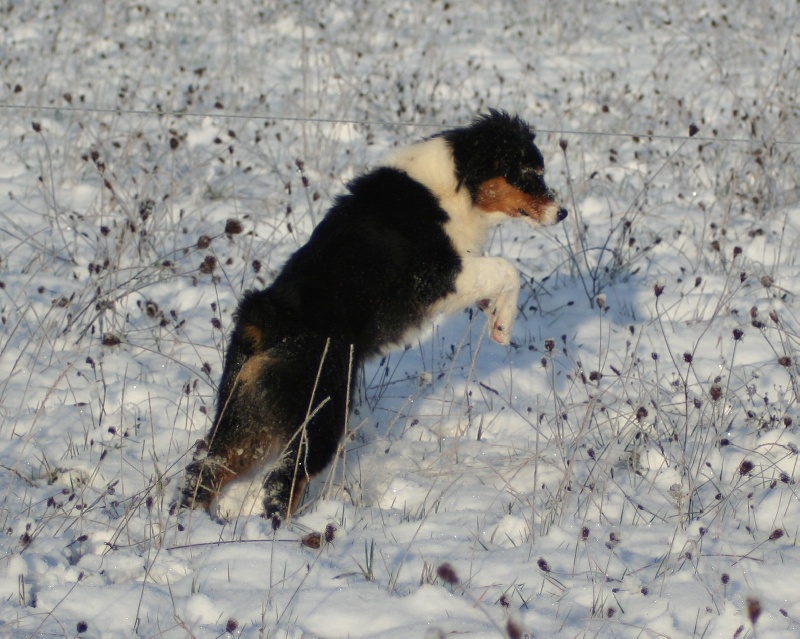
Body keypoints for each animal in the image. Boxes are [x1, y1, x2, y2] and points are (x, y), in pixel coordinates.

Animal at [181, 109, 568, 520]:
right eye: (528, 173)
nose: (562, 213)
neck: (457, 183)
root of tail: (265, 320)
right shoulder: (437, 275)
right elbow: (507, 269)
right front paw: (502, 326)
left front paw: (495, 317)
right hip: (321, 409)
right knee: (282, 481)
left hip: (242, 416)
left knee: (204, 469)